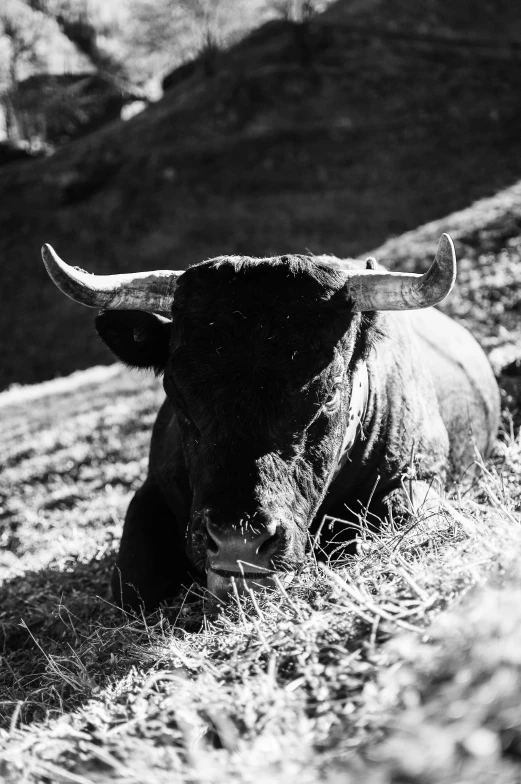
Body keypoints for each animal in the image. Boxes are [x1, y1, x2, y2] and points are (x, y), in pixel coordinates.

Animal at [41, 236, 500, 608]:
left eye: (329, 394)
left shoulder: (416, 477)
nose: (237, 545)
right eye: (176, 394)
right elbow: (134, 585)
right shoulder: (150, 493)